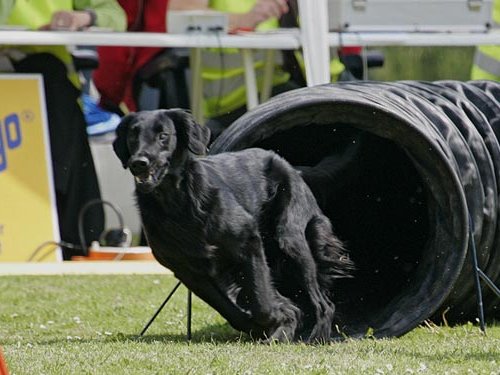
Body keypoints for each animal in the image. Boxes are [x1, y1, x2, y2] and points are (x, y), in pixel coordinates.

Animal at [113, 108, 352, 344]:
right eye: (133, 136)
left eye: (163, 136)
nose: (139, 162)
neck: (177, 203)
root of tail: (292, 168)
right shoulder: (189, 271)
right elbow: (234, 311)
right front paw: (282, 320)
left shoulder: (248, 243)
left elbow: (262, 302)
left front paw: (281, 318)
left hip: (291, 241)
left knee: (323, 302)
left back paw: (318, 337)